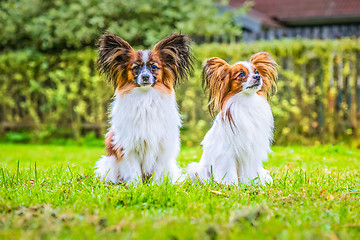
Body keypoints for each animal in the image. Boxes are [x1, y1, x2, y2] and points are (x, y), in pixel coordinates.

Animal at [94, 32, 193, 185]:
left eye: (154, 67)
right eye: (136, 68)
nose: (145, 76)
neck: (146, 99)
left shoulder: (161, 147)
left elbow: (158, 171)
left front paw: (155, 186)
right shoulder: (129, 146)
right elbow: (133, 170)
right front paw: (136, 186)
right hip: (109, 164)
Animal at [187, 52, 278, 186]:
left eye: (257, 71)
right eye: (241, 74)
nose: (257, 77)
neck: (247, 101)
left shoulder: (250, 153)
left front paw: (250, 184)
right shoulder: (226, 153)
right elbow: (229, 172)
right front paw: (231, 186)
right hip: (198, 169)